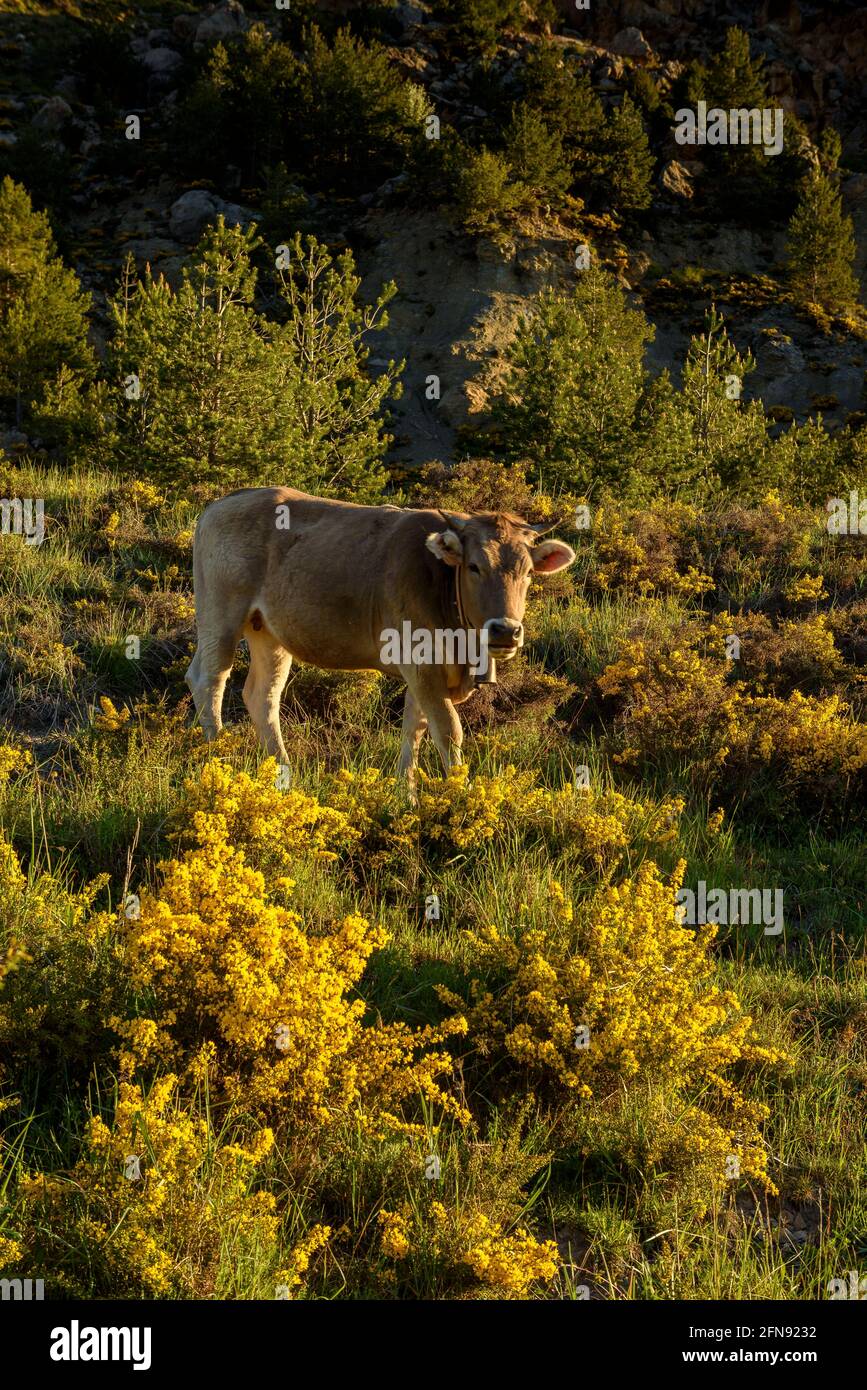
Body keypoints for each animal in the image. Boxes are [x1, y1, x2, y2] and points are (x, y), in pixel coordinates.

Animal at [185, 487, 575, 787]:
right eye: (475, 566)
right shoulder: (421, 662)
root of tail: (224, 502)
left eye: (528, 572)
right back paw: (217, 755)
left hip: (269, 633)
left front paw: (408, 796)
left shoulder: (425, 672)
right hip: (220, 614)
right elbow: (448, 729)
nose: (505, 630)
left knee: (262, 696)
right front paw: (461, 796)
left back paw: (284, 777)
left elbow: (413, 729)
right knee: (209, 680)